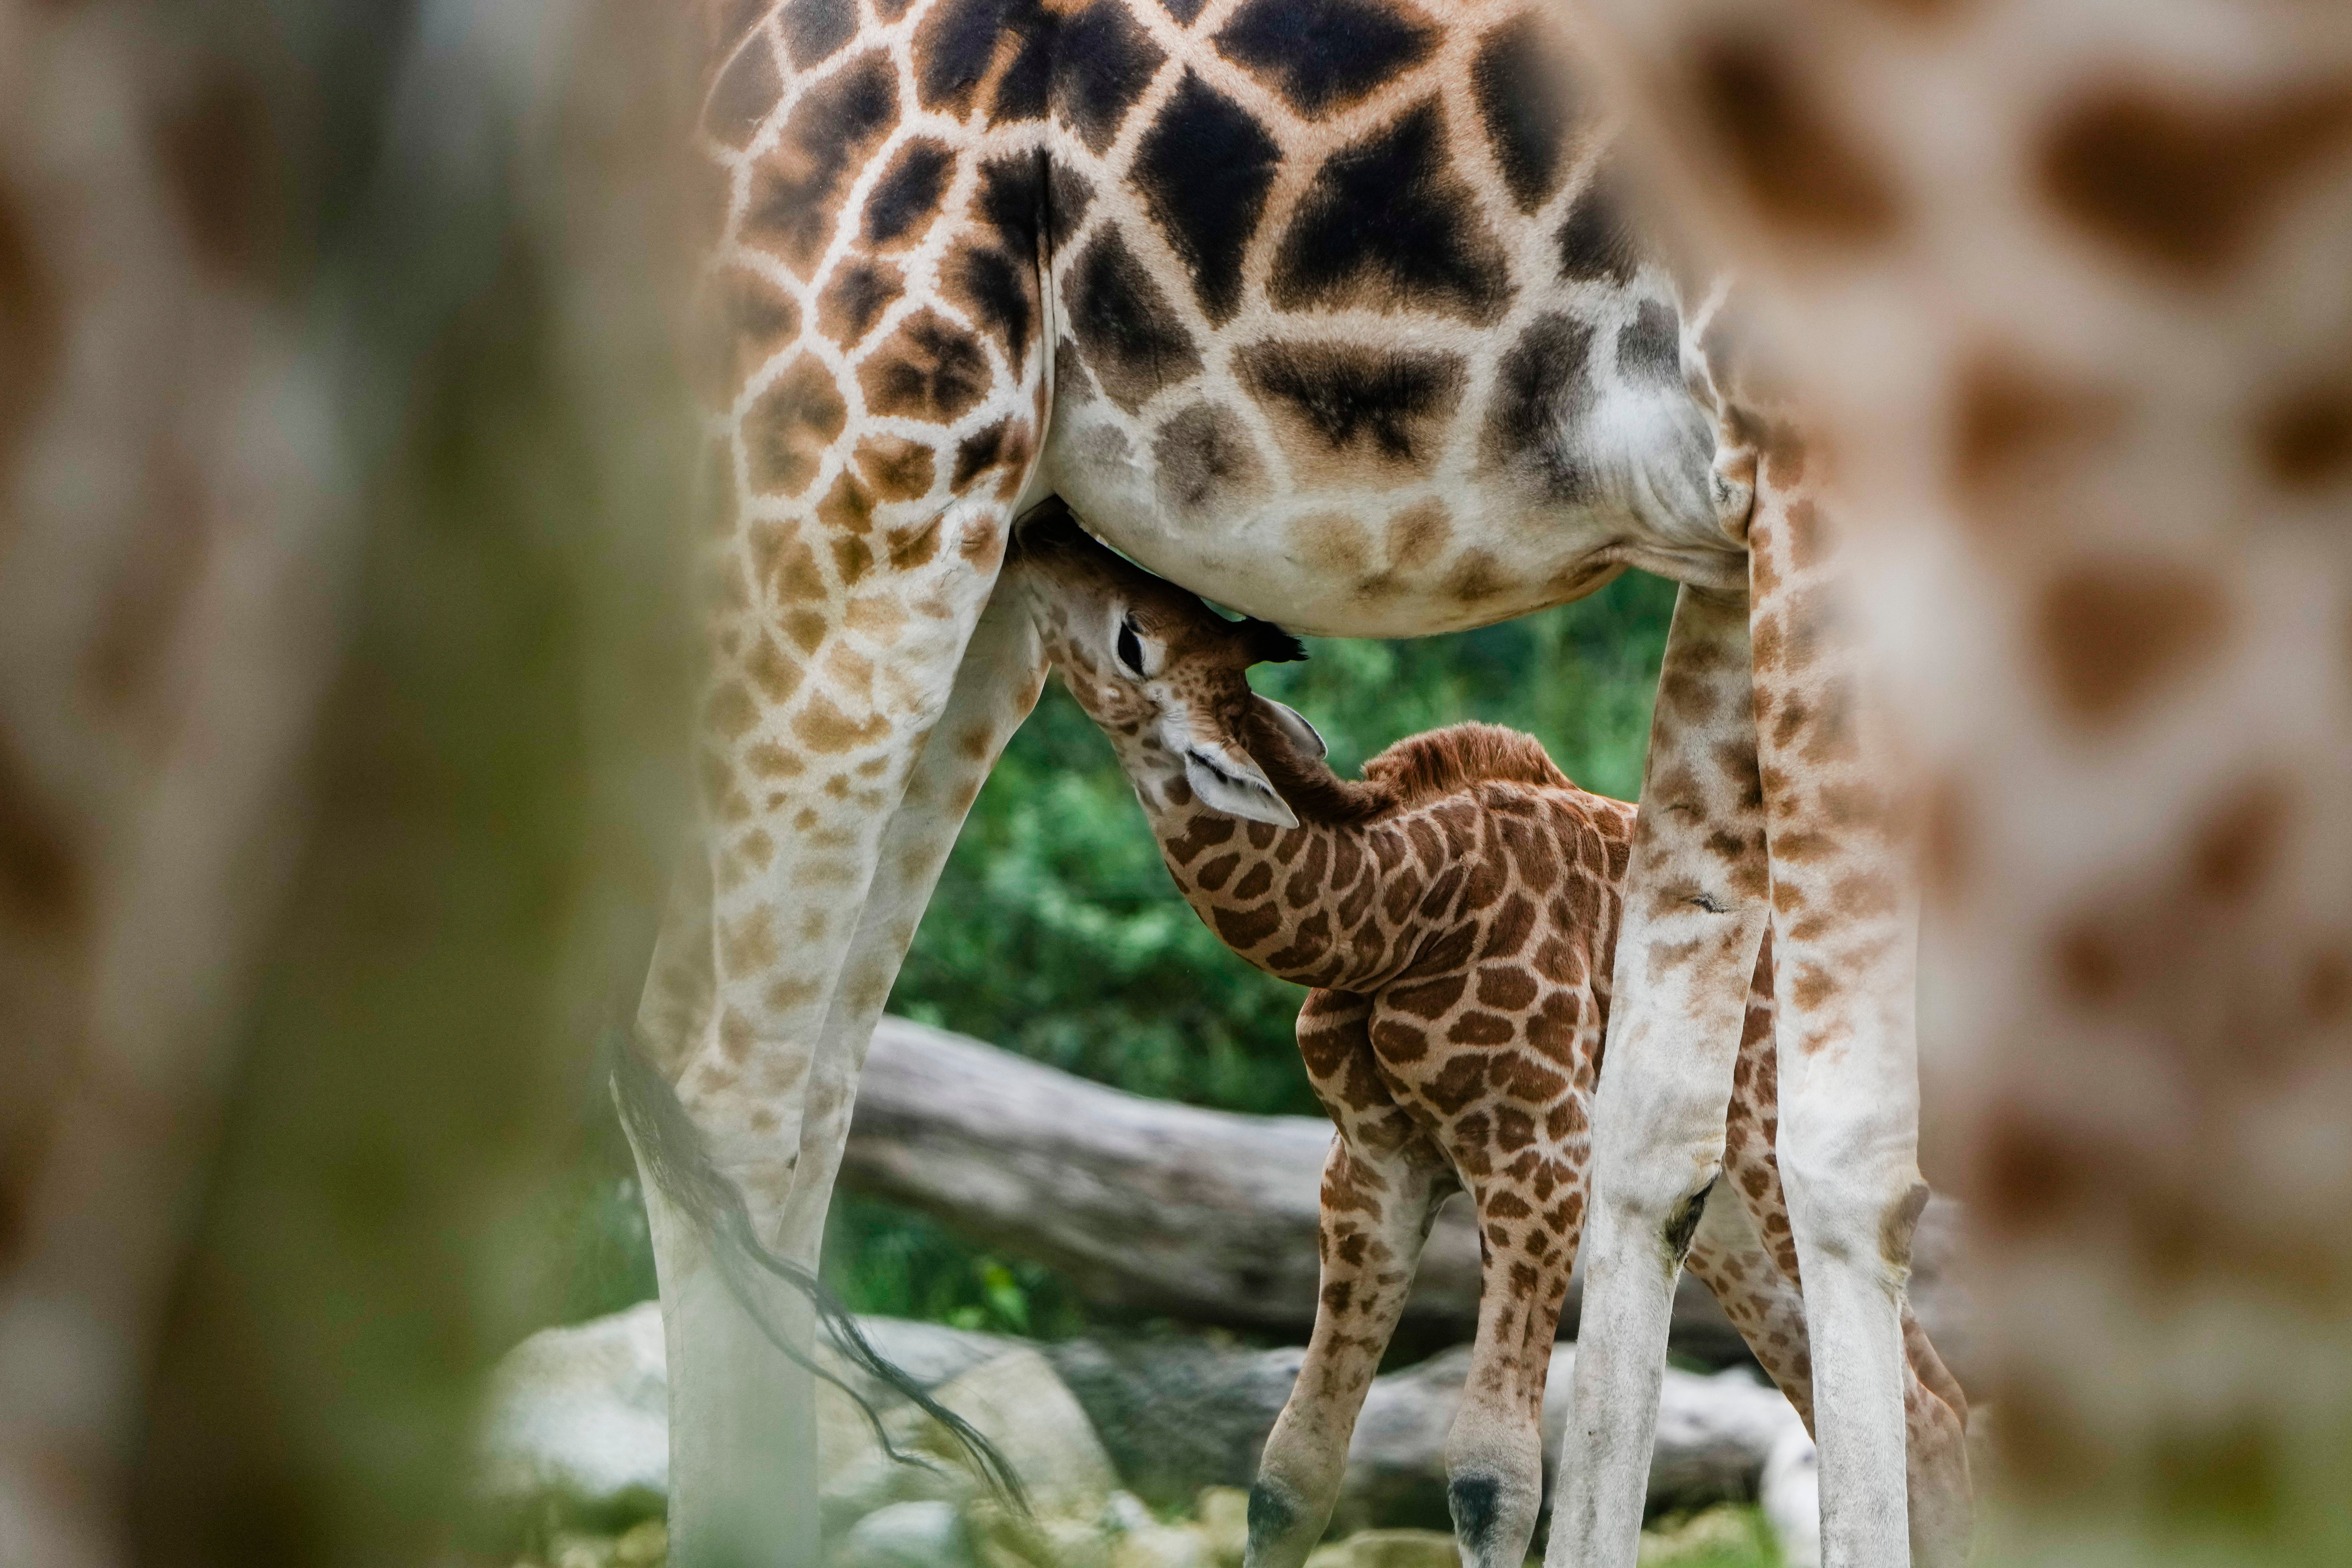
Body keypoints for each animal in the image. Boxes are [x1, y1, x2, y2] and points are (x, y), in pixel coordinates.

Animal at [1004, 501, 1971, 1568]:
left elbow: (1489, 1475)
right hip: (1718, 1218)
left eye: (1132, 636)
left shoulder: (1536, 1148)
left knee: (1926, 1404)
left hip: (1766, 1156)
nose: (1042, 535)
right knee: (1896, 1403)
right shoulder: (1371, 1164)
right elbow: (1288, 1472)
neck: (1393, 920)